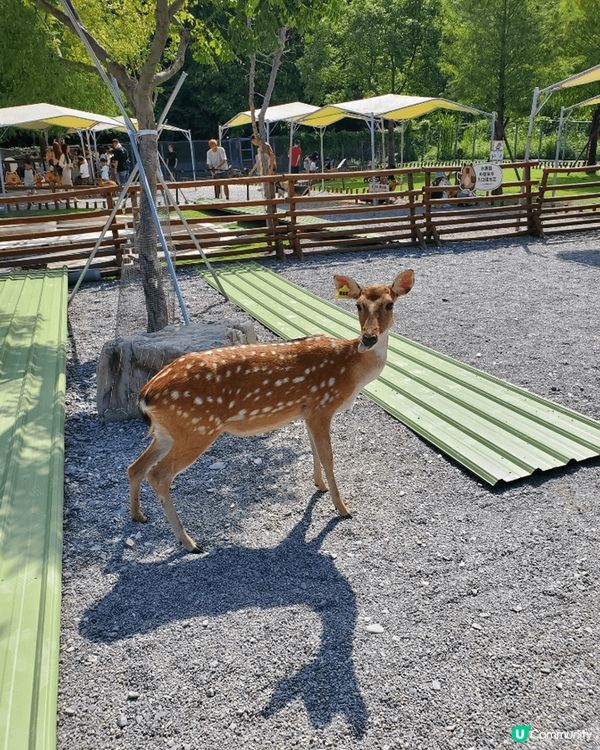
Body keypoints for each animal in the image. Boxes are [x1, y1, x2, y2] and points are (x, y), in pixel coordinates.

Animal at [128, 269, 415, 553]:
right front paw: (342, 509)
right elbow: (329, 457)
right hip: (197, 428)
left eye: (390, 304)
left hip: (168, 431)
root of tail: (146, 393)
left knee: (135, 467)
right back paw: (189, 542)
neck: (351, 369)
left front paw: (319, 486)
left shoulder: (308, 411)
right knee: (158, 474)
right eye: (358, 305)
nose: (368, 338)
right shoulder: (323, 406)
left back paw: (139, 516)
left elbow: (315, 451)